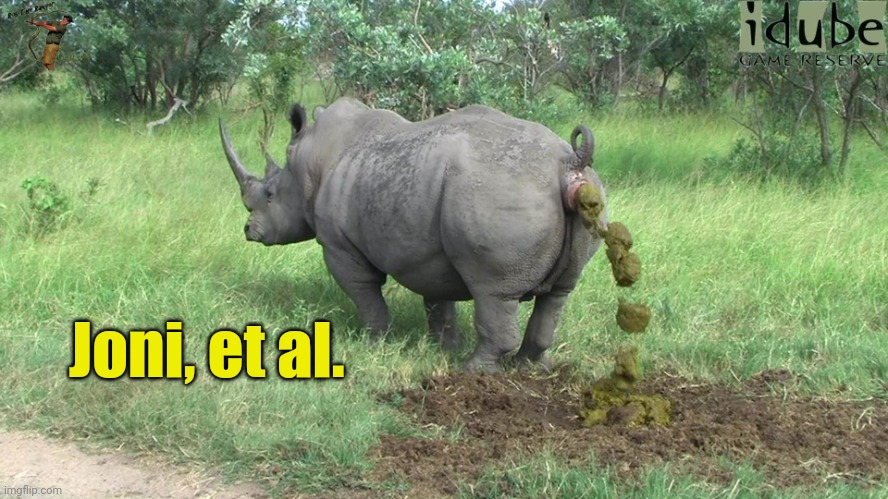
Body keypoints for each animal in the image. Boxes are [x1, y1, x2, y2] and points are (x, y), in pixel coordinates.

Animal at [219, 97, 608, 372]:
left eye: (270, 194)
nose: (249, 231)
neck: (308, 165)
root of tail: (569, 163)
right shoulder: (427, 248)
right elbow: (438, 297)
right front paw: (441, 346)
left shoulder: (338, 244)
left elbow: (364, 292)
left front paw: (374, 342)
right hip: (580, 193)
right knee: (558, 293)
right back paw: (529, 367)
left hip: (500, 189)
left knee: (493, 291)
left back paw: (474, 370)